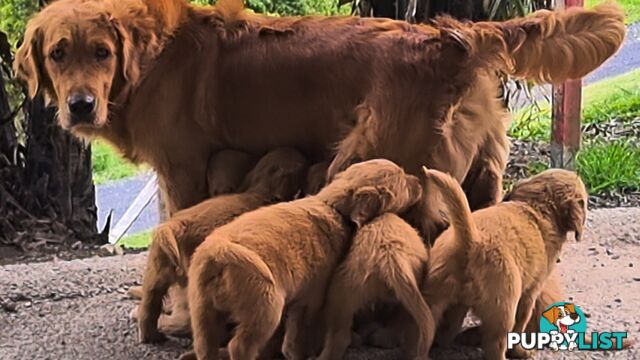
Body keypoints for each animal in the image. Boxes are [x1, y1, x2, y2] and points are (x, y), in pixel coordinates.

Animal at [180, 160, 420, 360]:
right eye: (402, 180)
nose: (418, 181)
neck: (332, 205)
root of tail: (218, 255)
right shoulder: (311, 297)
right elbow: (297, 333)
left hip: (201, 309)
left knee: (205, 344)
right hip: (264, 307)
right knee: (239, 346)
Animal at [422, 169, 588, 360]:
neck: (537, 208)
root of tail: (472, 240)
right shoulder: (531, 291)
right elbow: (522, 321)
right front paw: (520, 351)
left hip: (435, 297)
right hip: (505, 306)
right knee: (495, 344)